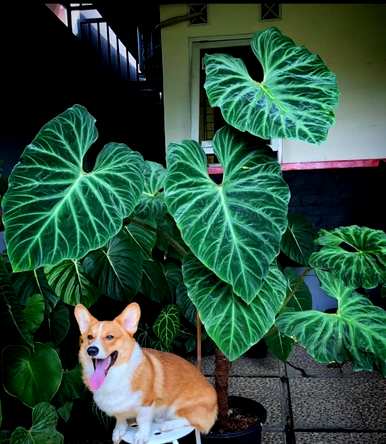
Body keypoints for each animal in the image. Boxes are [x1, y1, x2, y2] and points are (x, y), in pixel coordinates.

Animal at [74, 304, 216, 442]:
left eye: (110, 337)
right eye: (89, 337)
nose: (91, 350)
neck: (115, 375)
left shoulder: (147, 404)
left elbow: (142, 421)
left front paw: (141, 435)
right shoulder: (117, 408)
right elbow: (120, 419)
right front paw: (119, 431)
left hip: (178, 405)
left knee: (194, 422)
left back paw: (168, 424)